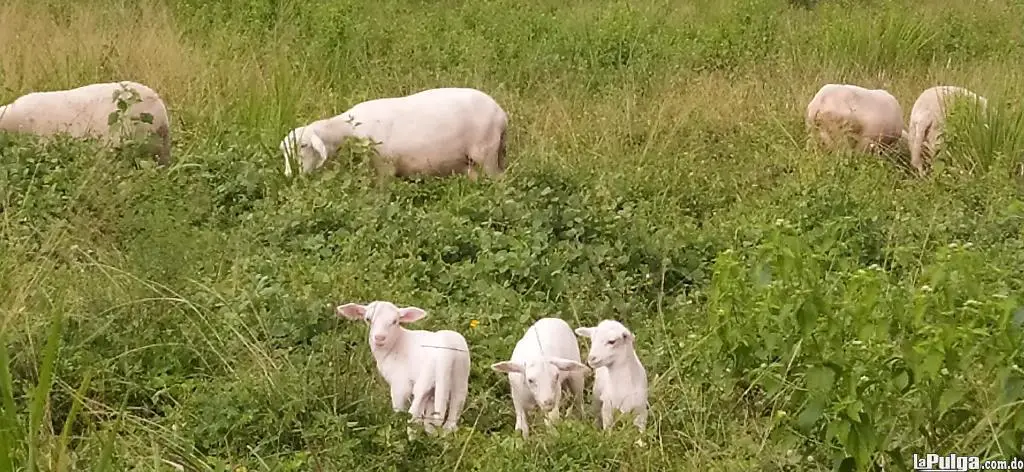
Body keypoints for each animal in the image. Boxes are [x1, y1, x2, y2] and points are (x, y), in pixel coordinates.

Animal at [278, 85, 505, 179]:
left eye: (304, 145)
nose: (290, 175)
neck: (348, 128)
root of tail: (502, 115)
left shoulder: (384, 167)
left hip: (486, 153)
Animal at [335, 298, 471, 432]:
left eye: (395, 321)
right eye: (368, 319)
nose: (379, 337)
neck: (396, 343)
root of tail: (447, 351)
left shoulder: (400, 383)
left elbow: (399, 408)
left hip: (427, 376)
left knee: (415, 411)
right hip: (459, 374)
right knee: (456, 404)